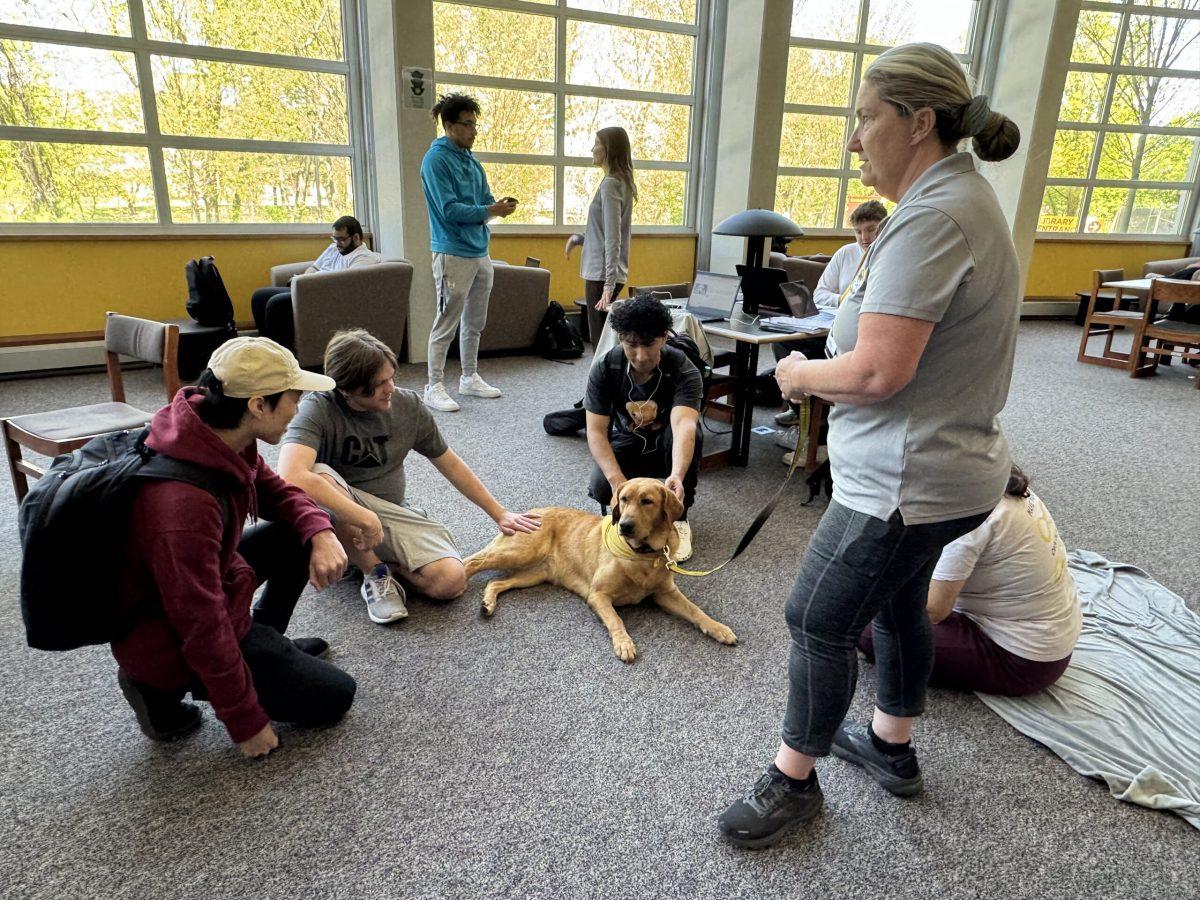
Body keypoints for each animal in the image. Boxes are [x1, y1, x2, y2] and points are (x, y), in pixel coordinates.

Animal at [463, 480, 734, 662]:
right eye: (623, 499)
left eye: (647, 501)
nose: (624, 525)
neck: (642, 555)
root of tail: (530, 512)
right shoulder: (598, 595)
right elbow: (616, 619)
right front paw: (624, 643)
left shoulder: (665, 593)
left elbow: (696, 611)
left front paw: (718, 628)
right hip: (520, 551)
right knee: (472, 562)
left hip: (533, 574)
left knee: (495, 583)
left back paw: (488, 603)